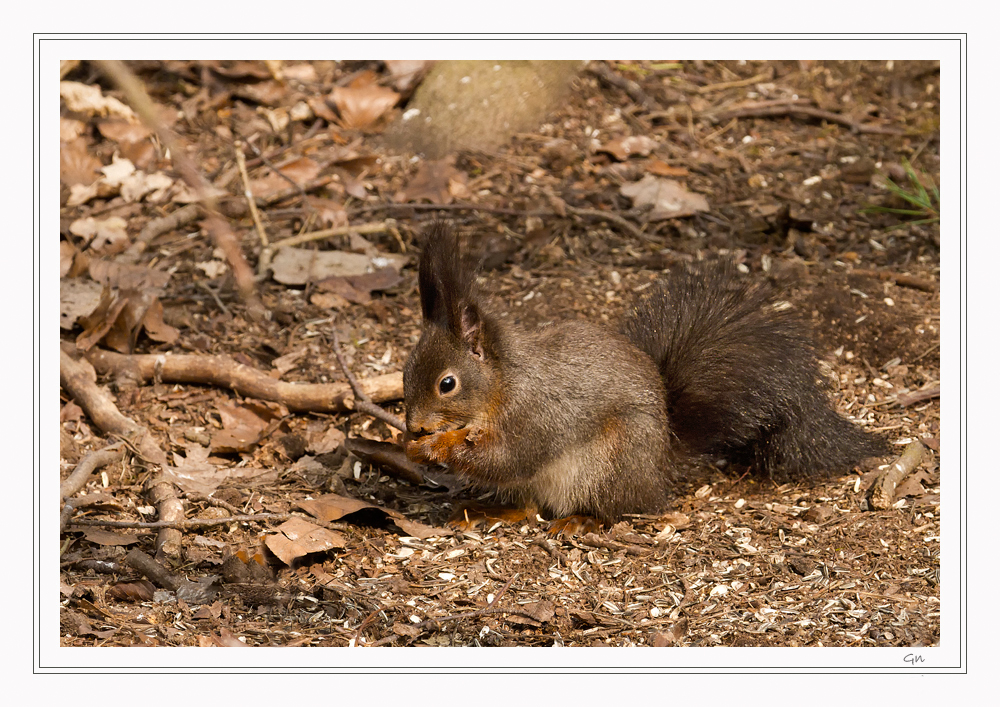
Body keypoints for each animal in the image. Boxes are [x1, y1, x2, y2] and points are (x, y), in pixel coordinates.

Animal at [402, 224, 888, 528]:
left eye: (447, 384)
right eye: (404, 373)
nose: (415, 426)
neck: (502, 384)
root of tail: (660, 464)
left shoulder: (536, 414)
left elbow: (507, 457)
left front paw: (433, 447)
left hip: (612, 461)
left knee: (620, 507)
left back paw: (582, 521)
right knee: (527, 506)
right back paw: (490, 512)